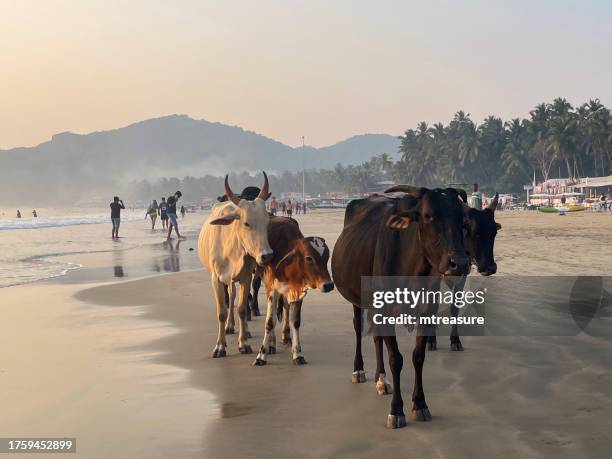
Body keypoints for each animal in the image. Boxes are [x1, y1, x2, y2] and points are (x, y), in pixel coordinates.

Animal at [198, 174, 272, 358]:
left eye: (267, 221)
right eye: (246, 223)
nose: (267, 255)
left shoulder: (246, 277)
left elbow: (242, 309)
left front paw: (243, 343)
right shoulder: (216, 279)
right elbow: (221, 312)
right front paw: (220, 346)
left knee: (234, 298)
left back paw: (243, 329)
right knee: (229, 298)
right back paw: (229, 326)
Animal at [252, 217, 332, 366]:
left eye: (327, 257)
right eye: (309, 258)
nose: (328, 285)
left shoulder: (298, 292)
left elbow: (295, 322)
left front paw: (297, 354)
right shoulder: (272, 290)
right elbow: (270, 322)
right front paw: (261, 355)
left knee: (285, 307)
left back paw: (285, 335)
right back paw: (271, 344)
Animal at [330, 186, 468, 428]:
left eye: (461, 218)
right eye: (428, 215)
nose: (459, 263)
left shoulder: (426, 312)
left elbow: (417, 356)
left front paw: (420, 404)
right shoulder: (385, 311)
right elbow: (396, 359)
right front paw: (396, 410)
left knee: (376, 337)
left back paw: (381, 380)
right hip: (357, 300)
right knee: (359, 328)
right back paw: (360, 370)